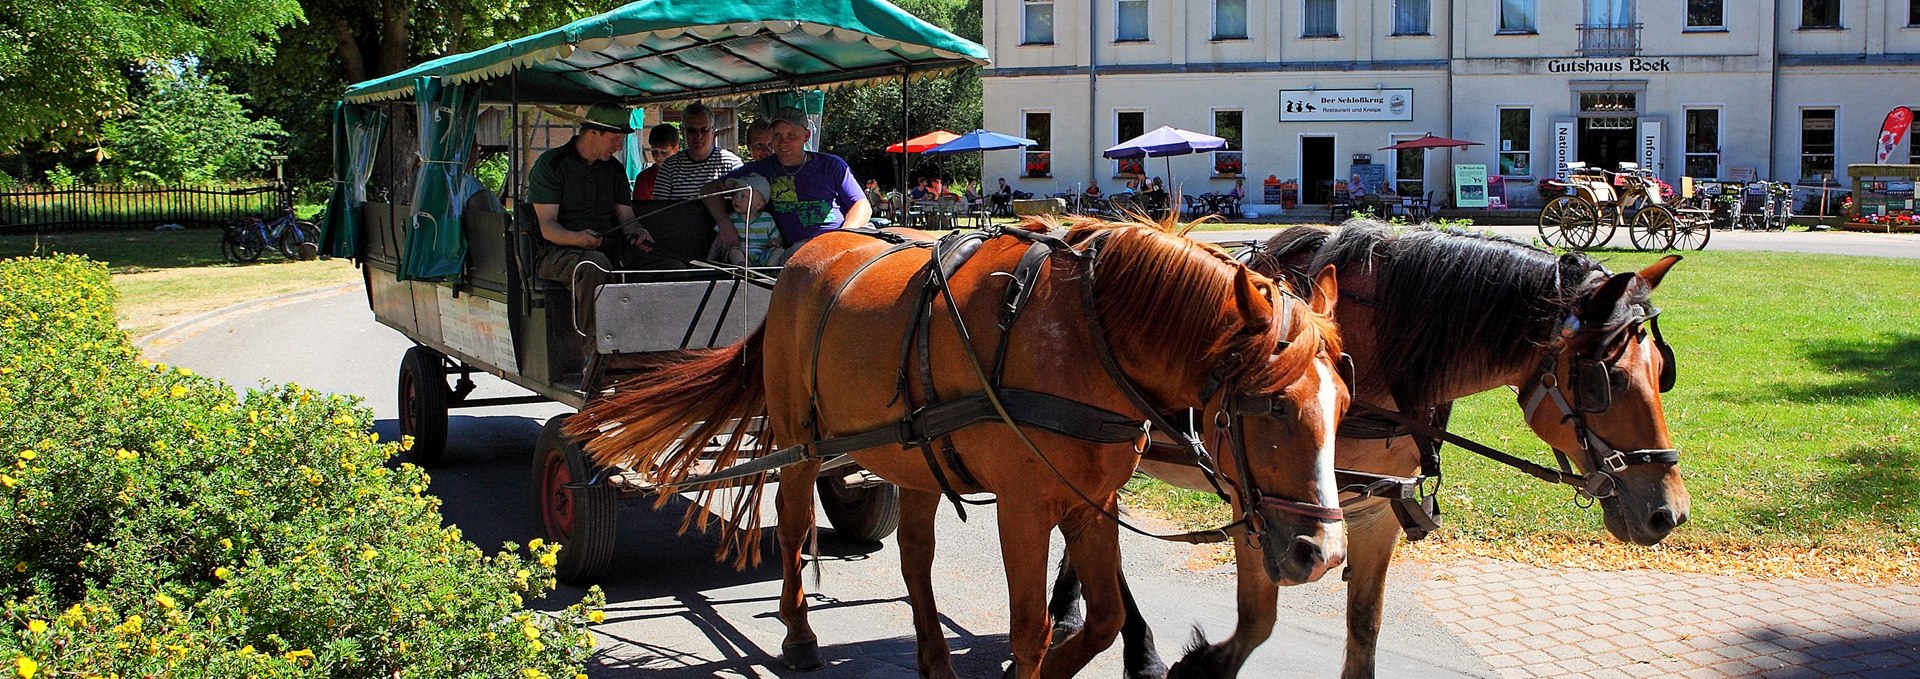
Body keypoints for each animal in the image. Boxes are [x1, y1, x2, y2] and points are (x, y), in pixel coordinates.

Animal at [568, 218, 1351, 679]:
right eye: (1274, 405)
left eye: (1343, 405)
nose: (1322, 555)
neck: (1086, 333)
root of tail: (800, 256)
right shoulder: (1025, 507)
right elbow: (1030, 628)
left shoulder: (1091, 501)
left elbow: (1101, 620)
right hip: (797, 439)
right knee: (792, 531)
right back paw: (798, 635)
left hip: (909, 454)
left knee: (915, 557)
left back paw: (935, 659)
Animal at [1052, 220, 1697, 675]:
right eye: (1605, 381)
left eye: (1661, 372)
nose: (1668, 512)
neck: (1378, 351)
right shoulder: (1259, 499)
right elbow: (1258, 620)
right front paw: (1199, 665)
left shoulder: (1373, 507)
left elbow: (1364, 627)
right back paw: (1136, 648)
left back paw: (1070, 608)